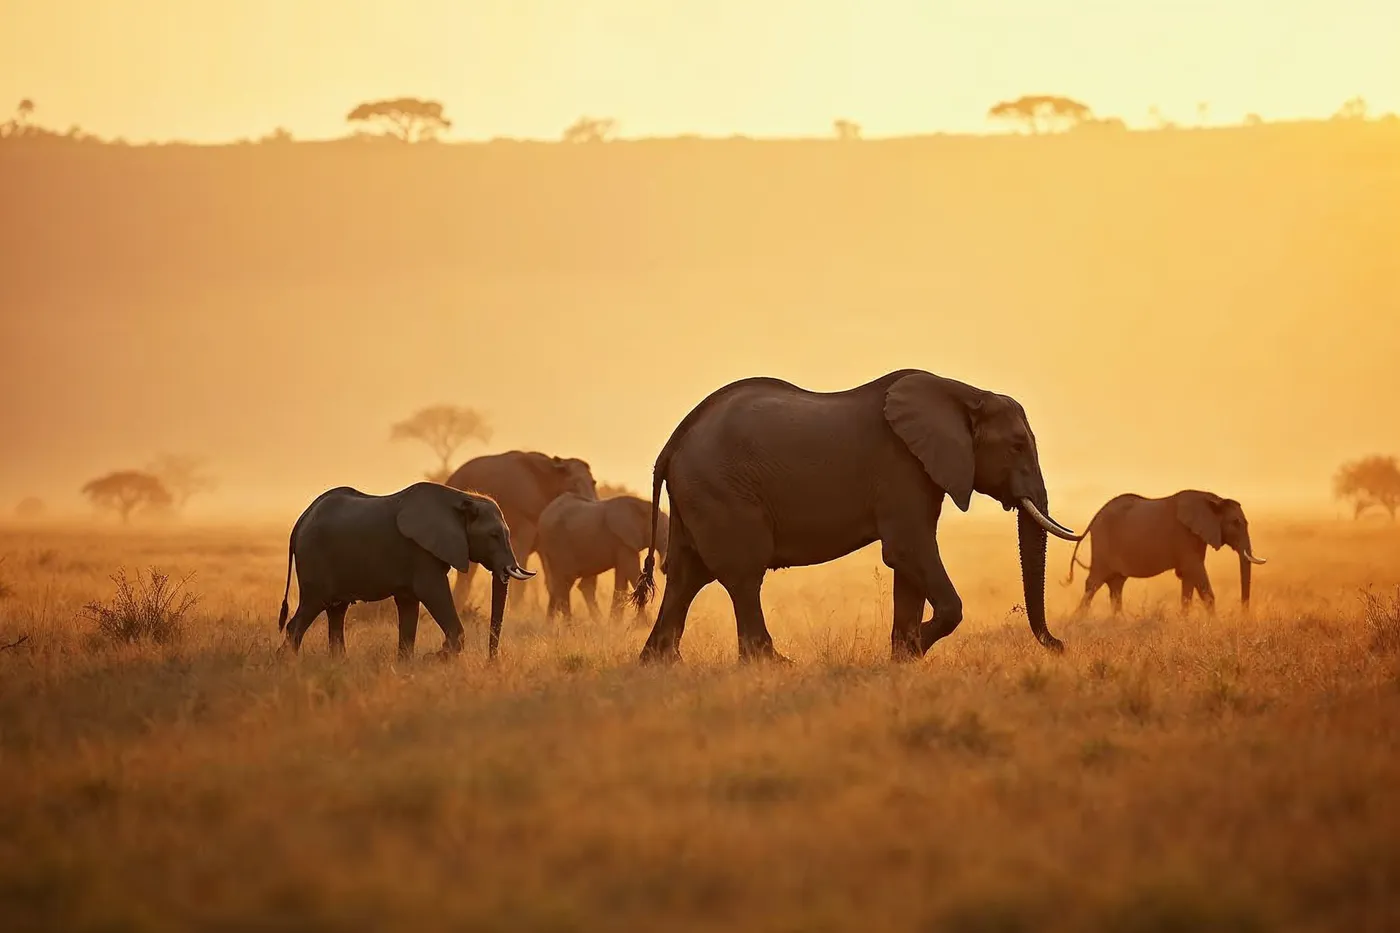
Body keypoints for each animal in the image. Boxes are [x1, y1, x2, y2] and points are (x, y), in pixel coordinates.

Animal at [276, 482, 535, 661]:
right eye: (494, 535)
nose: (492, 663)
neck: (463, 498)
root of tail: (300, 521)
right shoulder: (421, 553)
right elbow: (433, 592)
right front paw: (433, 659)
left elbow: (409, 604)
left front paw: (406, 664)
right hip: (314, 560)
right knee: (311, 607)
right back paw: (288, 663)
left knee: (337, 612)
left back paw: (339, 663)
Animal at [535, 493, 670, 622]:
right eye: (665, 537)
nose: (664, 568)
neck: (645, 506)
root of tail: (542, 517)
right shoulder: (624, 541)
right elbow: (633, 574)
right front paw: (643, 624)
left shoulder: (623, 544)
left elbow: (622, 579)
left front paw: (615, 624)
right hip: (558, 544)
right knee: (566, 581)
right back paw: (570, 624)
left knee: (563, 584)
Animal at [629, 369, 1082, 663]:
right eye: (1017, 445)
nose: (1059, 645)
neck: (964, 392)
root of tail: (672, 443)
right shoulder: (901, 467)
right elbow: (908, 550)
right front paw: (911, 649)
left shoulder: (921, 471)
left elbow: (907, 564)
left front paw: (903, 658)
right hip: (721, 491)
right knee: (741, 574)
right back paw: (772, 665)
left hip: (696, 495)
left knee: (686, 574)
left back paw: (661, 665)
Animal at [1064, 490, 1267, 613]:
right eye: (1236, 523)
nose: (1243, 615)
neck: (1213, 500)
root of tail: (1095, 516)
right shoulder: (1185, 536)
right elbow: (1196, 573)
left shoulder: (1196, 537)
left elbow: (1188, 579)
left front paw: (1185, 623)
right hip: (1102, 542)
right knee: (1095, 583)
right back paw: (1080, 622)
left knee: (1116, 585)